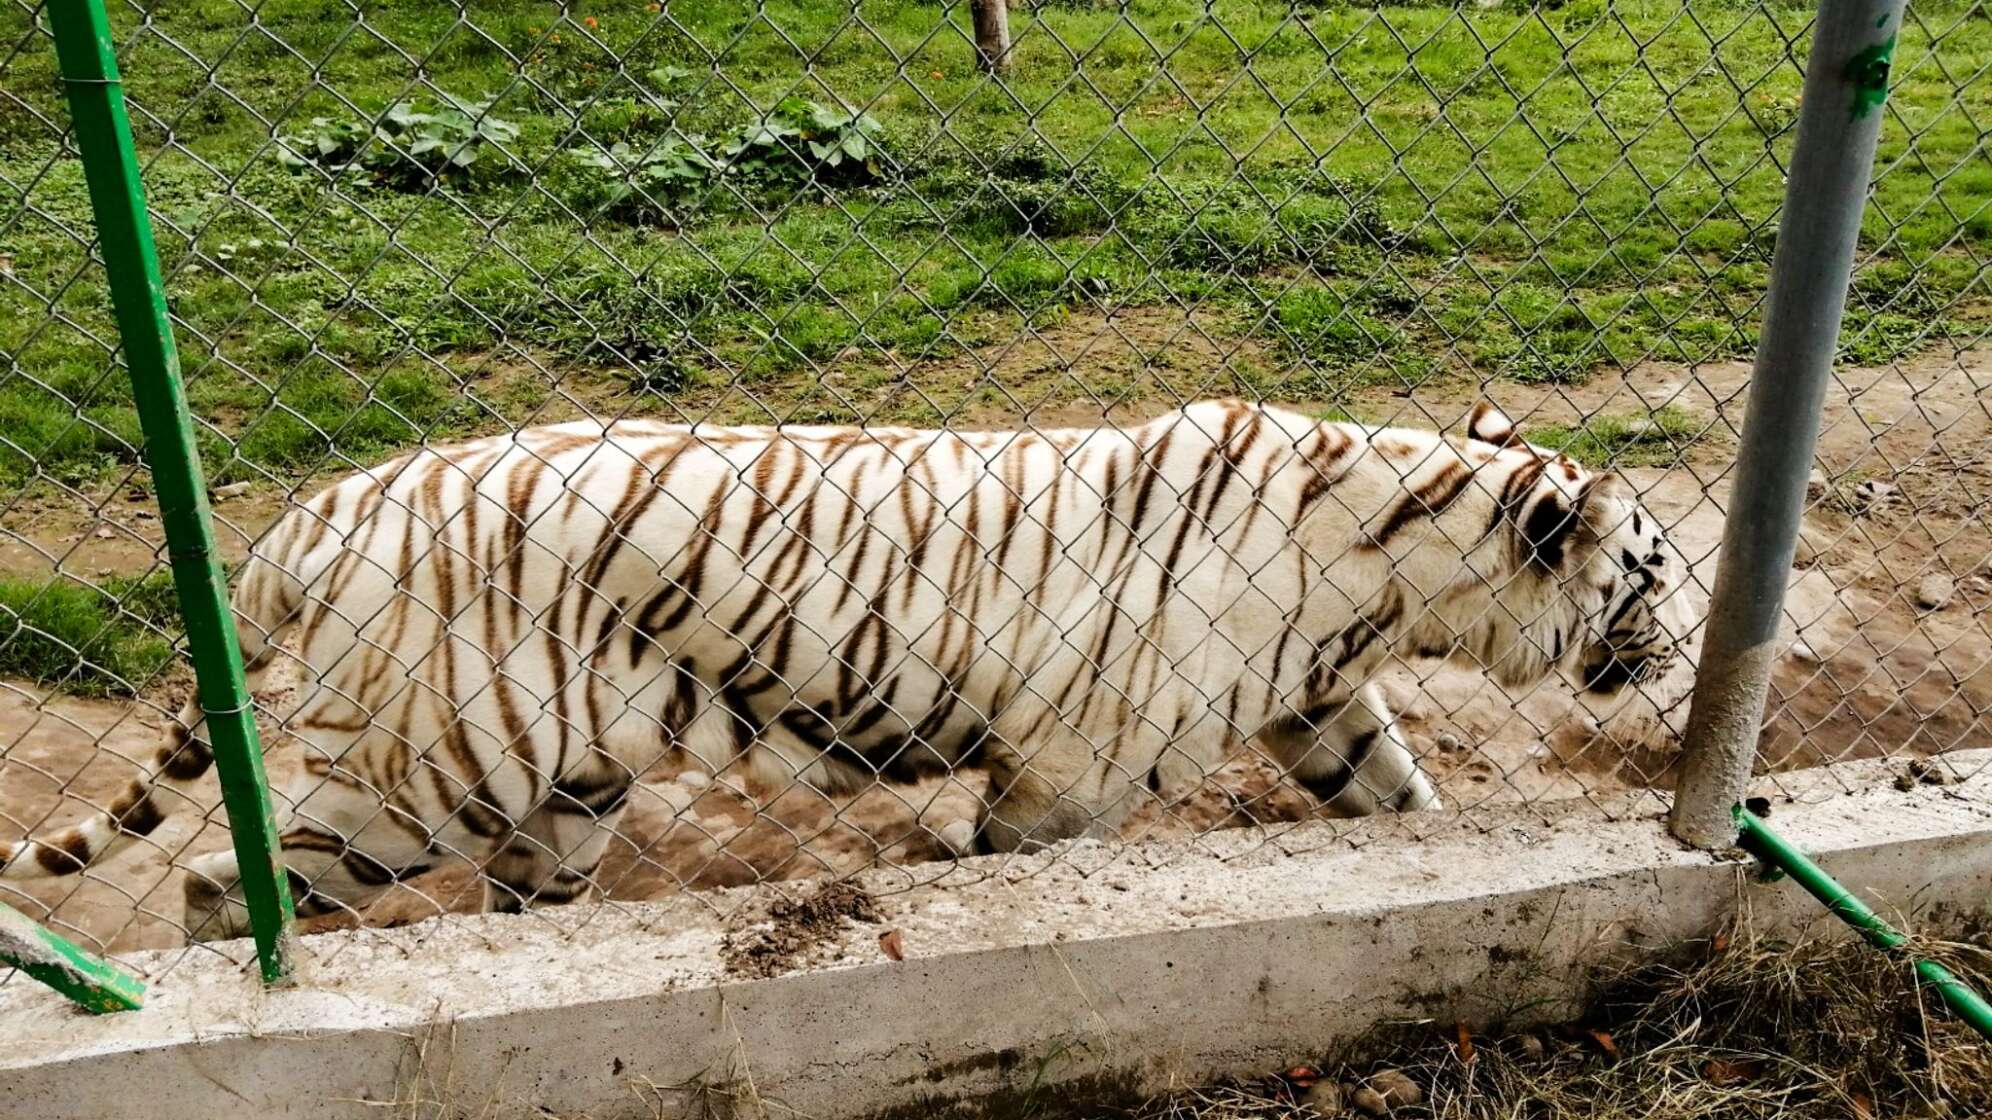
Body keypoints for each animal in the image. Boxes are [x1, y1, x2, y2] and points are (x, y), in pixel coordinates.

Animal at [1, 400, 1692, 940]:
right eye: (1659, 572)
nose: (1685, 650)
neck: (1395, 569)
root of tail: (319, 508)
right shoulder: (1070, 773)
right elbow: (1013, 866)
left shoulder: (1320, 701)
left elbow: (1398, 804)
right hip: (427, 771)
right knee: (224, 886)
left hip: (564, 791)